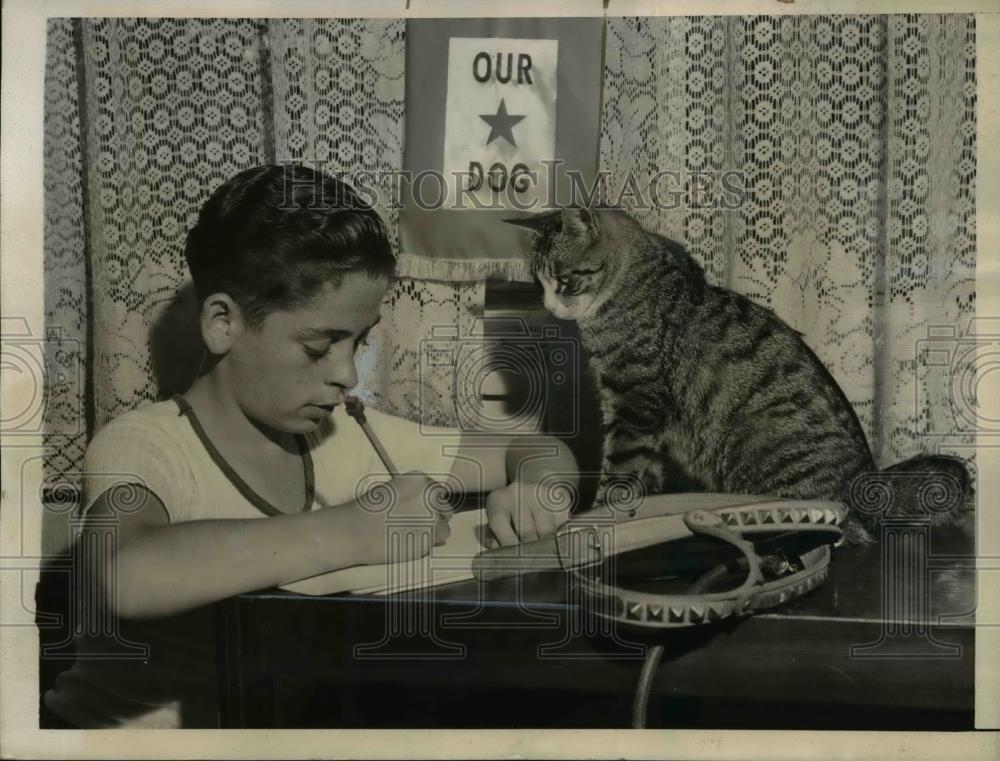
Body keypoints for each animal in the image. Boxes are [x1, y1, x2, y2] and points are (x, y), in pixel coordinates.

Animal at [508, 205, 968, 544]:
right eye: (538, 283)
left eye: (564, 281)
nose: (548, 308)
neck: (630, 285)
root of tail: (863, 479)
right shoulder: (632, 409)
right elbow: (644, 471)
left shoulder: (635, 401)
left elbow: (620, 467)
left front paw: (599, 512)